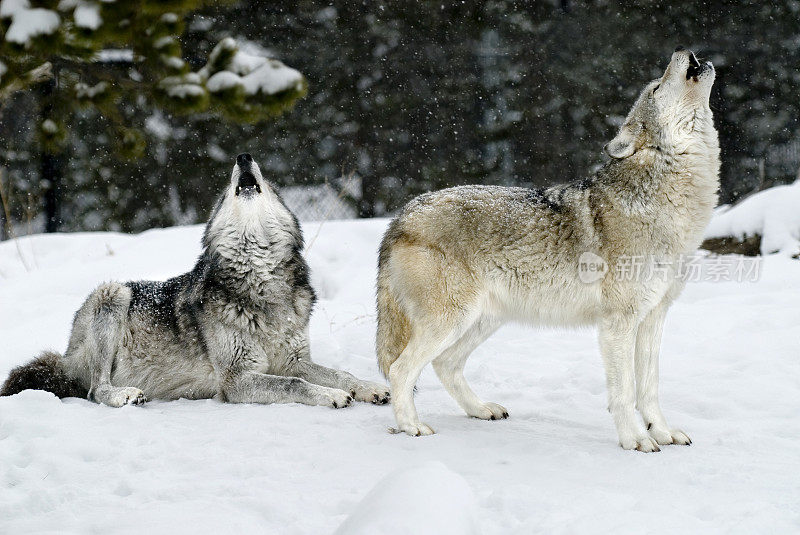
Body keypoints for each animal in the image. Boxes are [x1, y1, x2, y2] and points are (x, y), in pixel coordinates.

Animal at [2, 153, 390, 408]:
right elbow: (296, 385)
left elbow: (340, 373)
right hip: (113, 294)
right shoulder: (237, 380)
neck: (262, 281)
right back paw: (126, 394)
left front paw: (368, 387)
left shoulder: (294, 360)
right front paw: (333, 395)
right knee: (95, 390)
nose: (244, 156)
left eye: (268, 187)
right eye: (225, 192)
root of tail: (67, 354)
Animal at [378, 47, 720, 452]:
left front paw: (663, 433)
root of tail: (402, 215)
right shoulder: (617, 323)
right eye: (655, 87)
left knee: (444, 364)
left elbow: (649, 389)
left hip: (482, 320)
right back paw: (412, 427)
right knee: (400, 369)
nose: (685, 51)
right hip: (452, 320)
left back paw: (480, 410)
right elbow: (624, 393)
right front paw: (635, 440)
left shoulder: (653, 317)